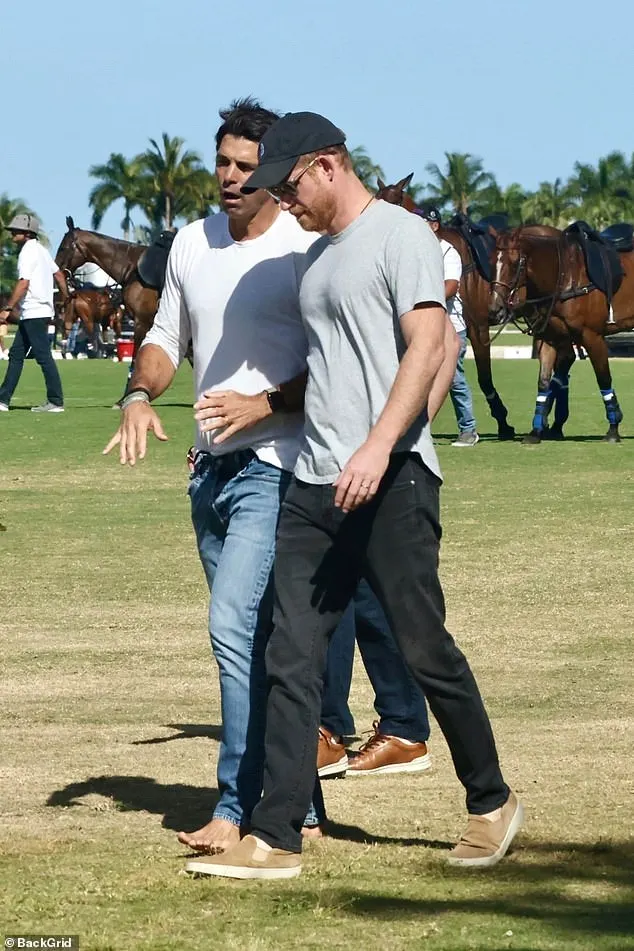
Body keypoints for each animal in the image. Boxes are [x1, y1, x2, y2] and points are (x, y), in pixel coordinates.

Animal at [488, 226, 632, 442]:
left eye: (514, 263)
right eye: (490, 262)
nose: (495, 310)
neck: (565, 276)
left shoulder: (593, 337)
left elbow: (603, 378)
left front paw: (613, 428)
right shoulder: (551, 338)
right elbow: (544, 382)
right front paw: (536, 430)